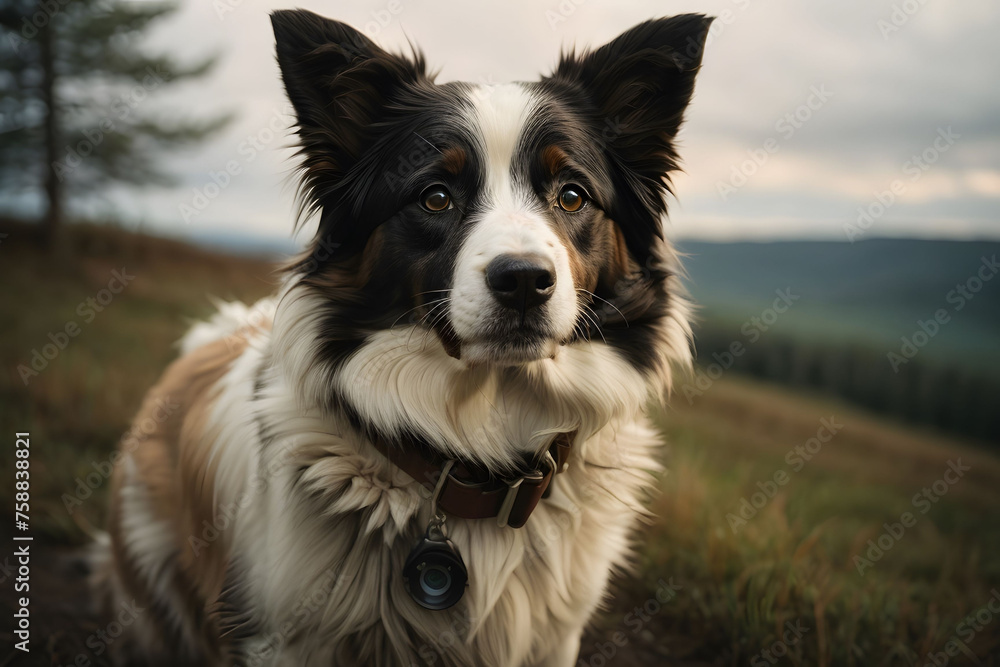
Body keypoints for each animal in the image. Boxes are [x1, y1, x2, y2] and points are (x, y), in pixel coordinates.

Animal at [97, 9, 712, 664]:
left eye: (572, 194)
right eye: (435, 197)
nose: (524, 281)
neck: (478, 448)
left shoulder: (555, 637)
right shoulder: (288, 637)